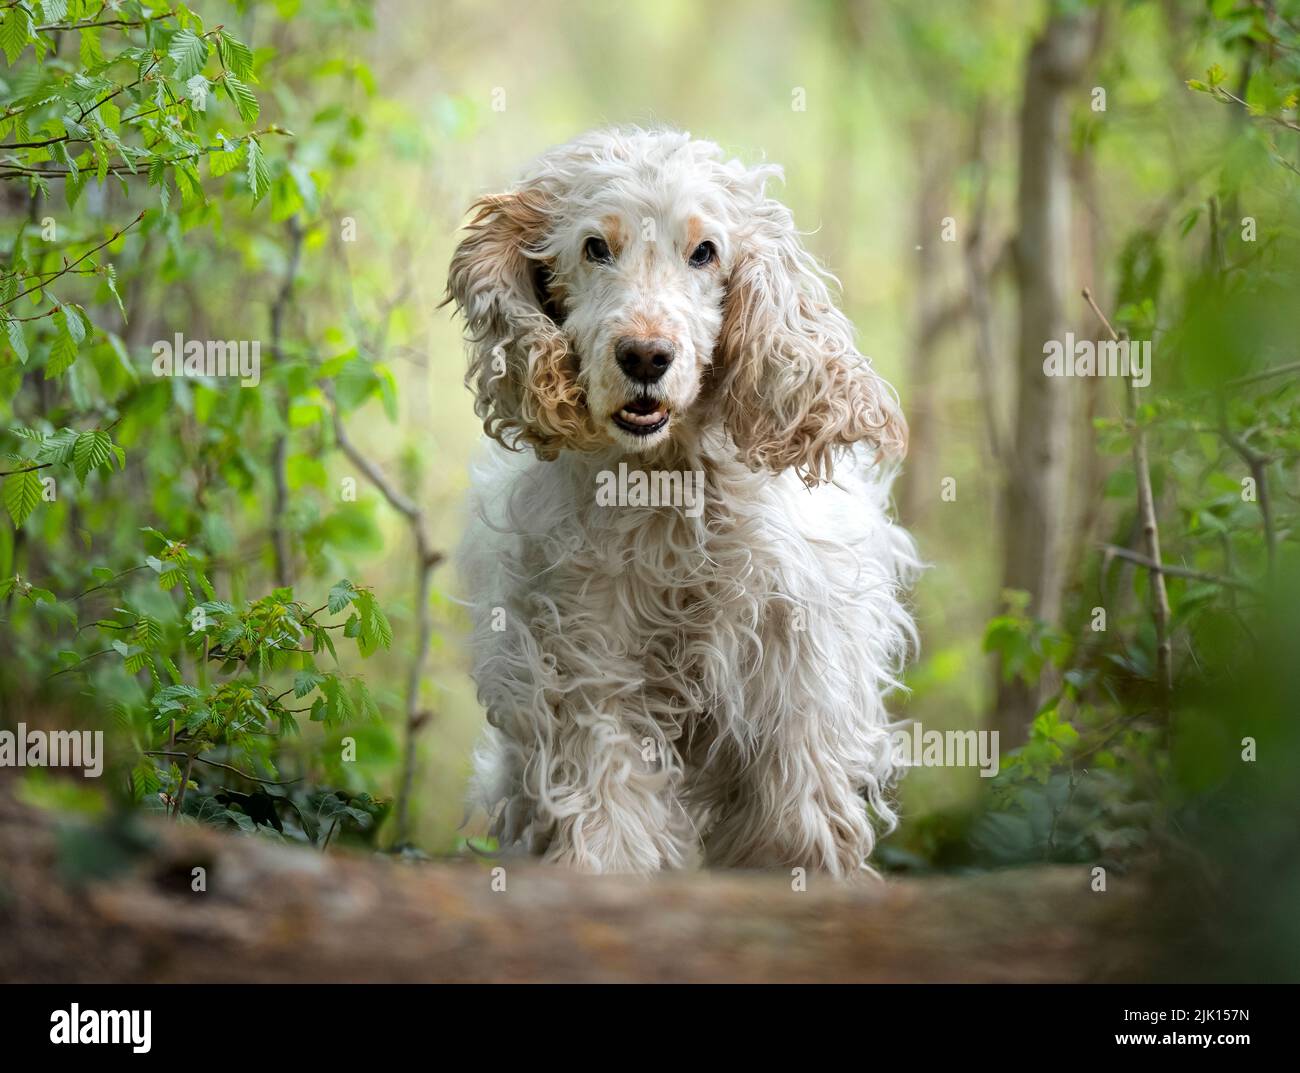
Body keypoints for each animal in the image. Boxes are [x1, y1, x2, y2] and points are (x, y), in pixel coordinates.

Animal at [447, 130, 925, 874]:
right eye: (595, 246)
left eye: (704, 251)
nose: (646, 356)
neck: (668, 482)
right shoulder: (587, 659)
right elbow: (608, 796)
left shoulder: (796, 664)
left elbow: (798, 808)